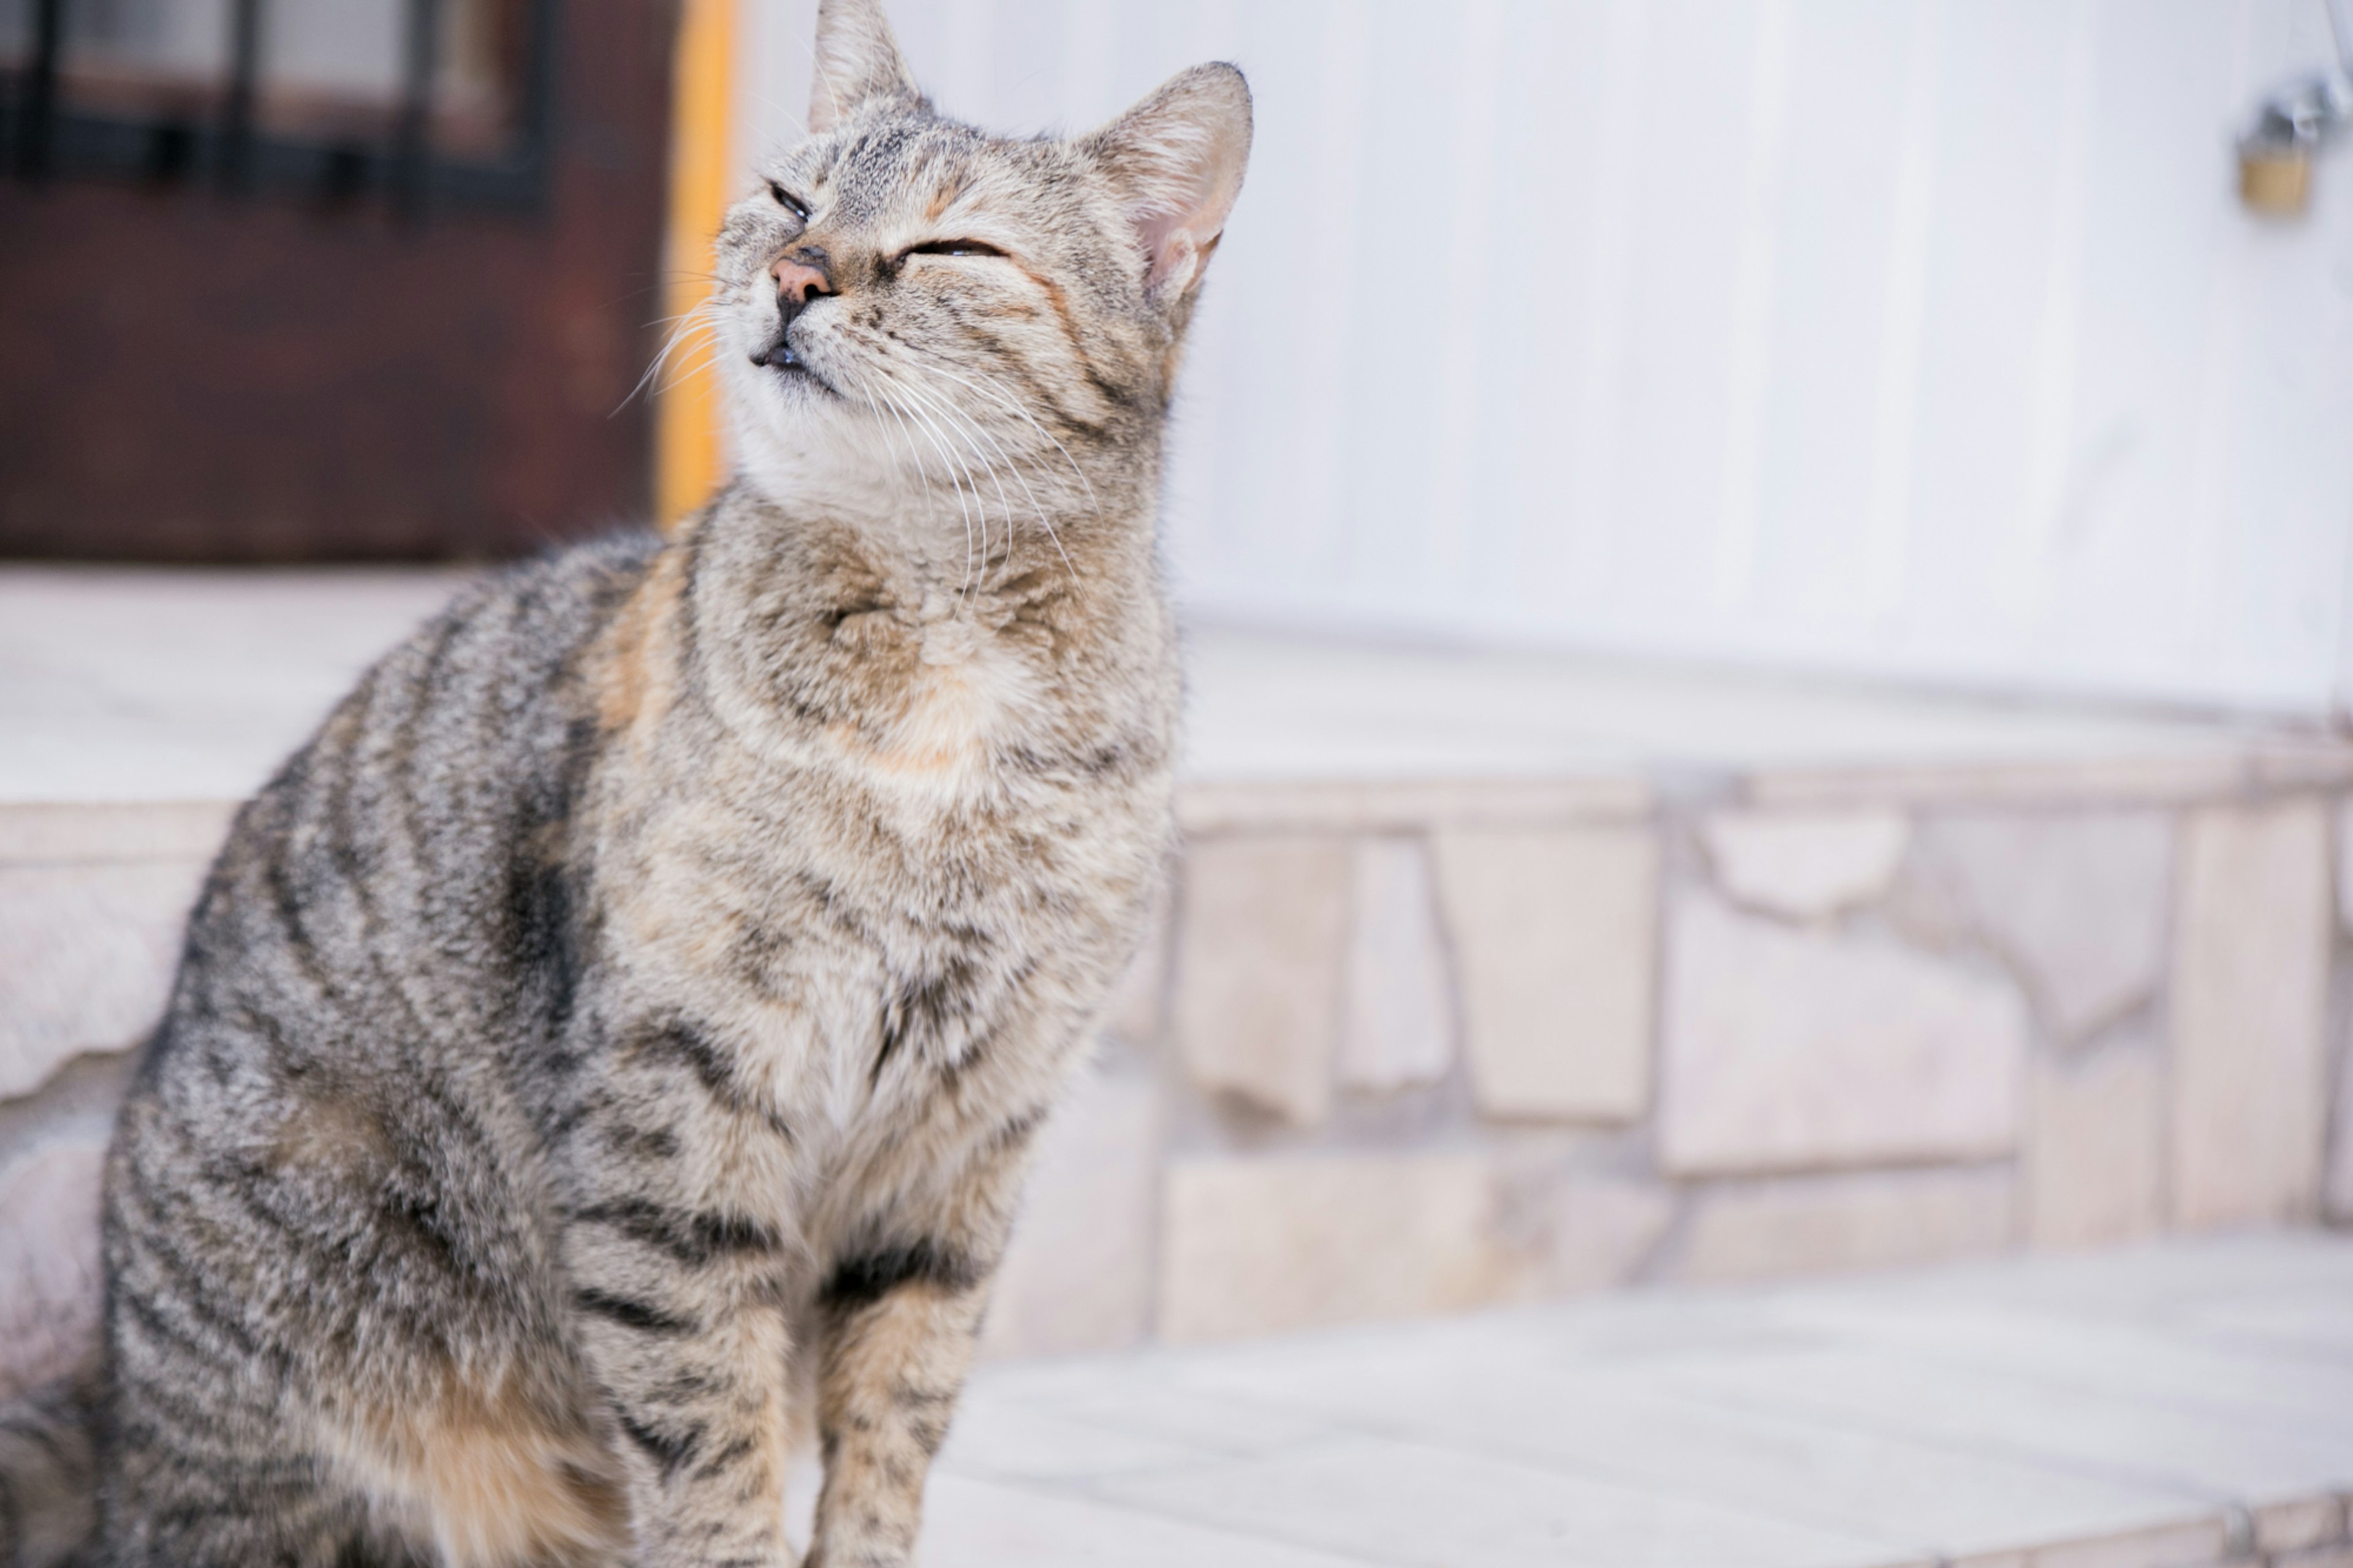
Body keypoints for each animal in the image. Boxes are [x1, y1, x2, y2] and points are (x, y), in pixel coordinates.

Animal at [0, 6, 1251, 1553]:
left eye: (953, 247)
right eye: (789, 197)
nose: (794, 272)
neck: (945, 676)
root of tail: (119, 1424)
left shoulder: (968, 1141)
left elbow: (894, 1422)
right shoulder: (677, 1106)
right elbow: (710, 1440)